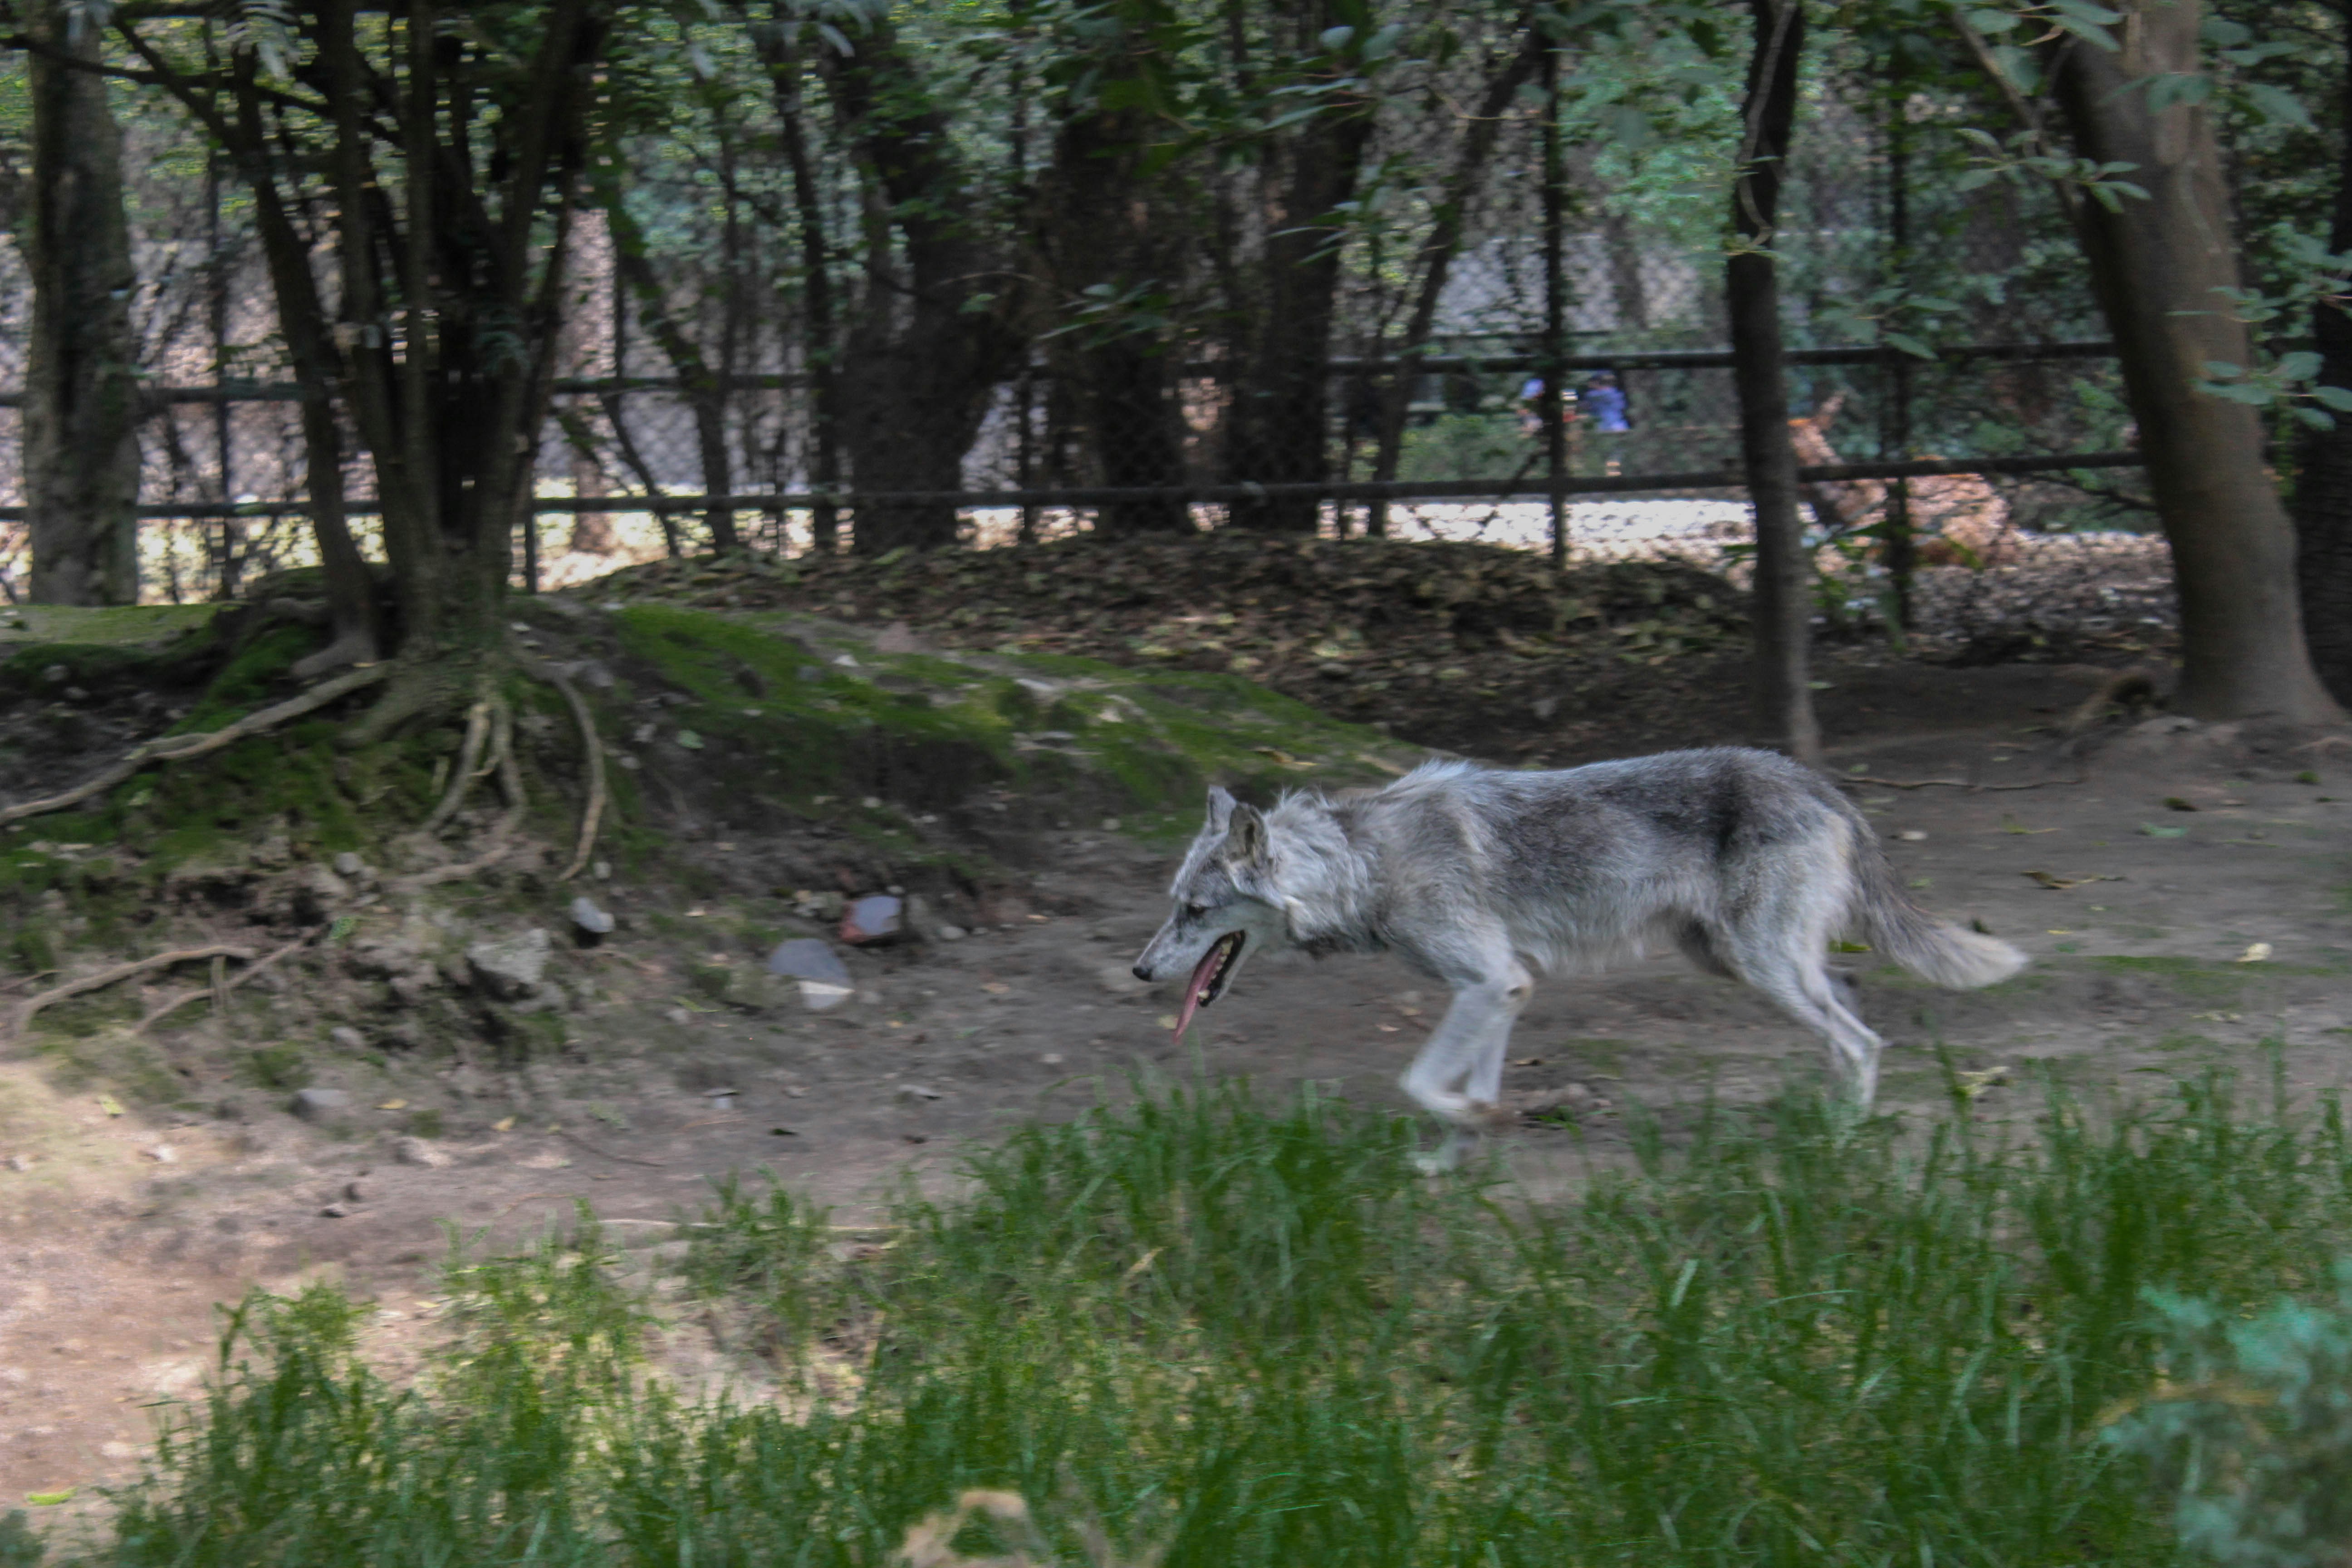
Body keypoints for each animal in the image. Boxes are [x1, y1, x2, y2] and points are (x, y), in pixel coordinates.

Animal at [1132, 749, 2024, 1168]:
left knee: (1862, 1040)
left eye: (1193, 912)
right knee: (1848, 1008)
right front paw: (1458, 1160)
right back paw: (1829, 1118)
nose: (1140, 971)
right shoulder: (1503, 989)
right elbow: (1463, 1091)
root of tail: (1815, 779)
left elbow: (1419, 1082)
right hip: (1745, 963)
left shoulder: (1491, 981)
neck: (1362, 864)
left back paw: (1840, 1141)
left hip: (1763, 967)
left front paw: (1471, 1133)